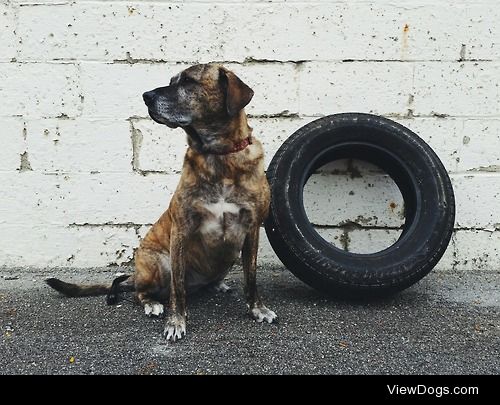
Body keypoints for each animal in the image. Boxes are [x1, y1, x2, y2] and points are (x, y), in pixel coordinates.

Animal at [45, 63, 278, 340]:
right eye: (171, 81)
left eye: (188, 82)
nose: (146, 96)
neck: (218, 156)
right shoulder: (181, 230)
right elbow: (178, 289)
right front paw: (176, 321)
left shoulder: (252, 229)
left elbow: (251, 277)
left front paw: (258, 309)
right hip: (158, 262)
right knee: (141, 293)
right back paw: (152, 304)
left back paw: (217, 284)